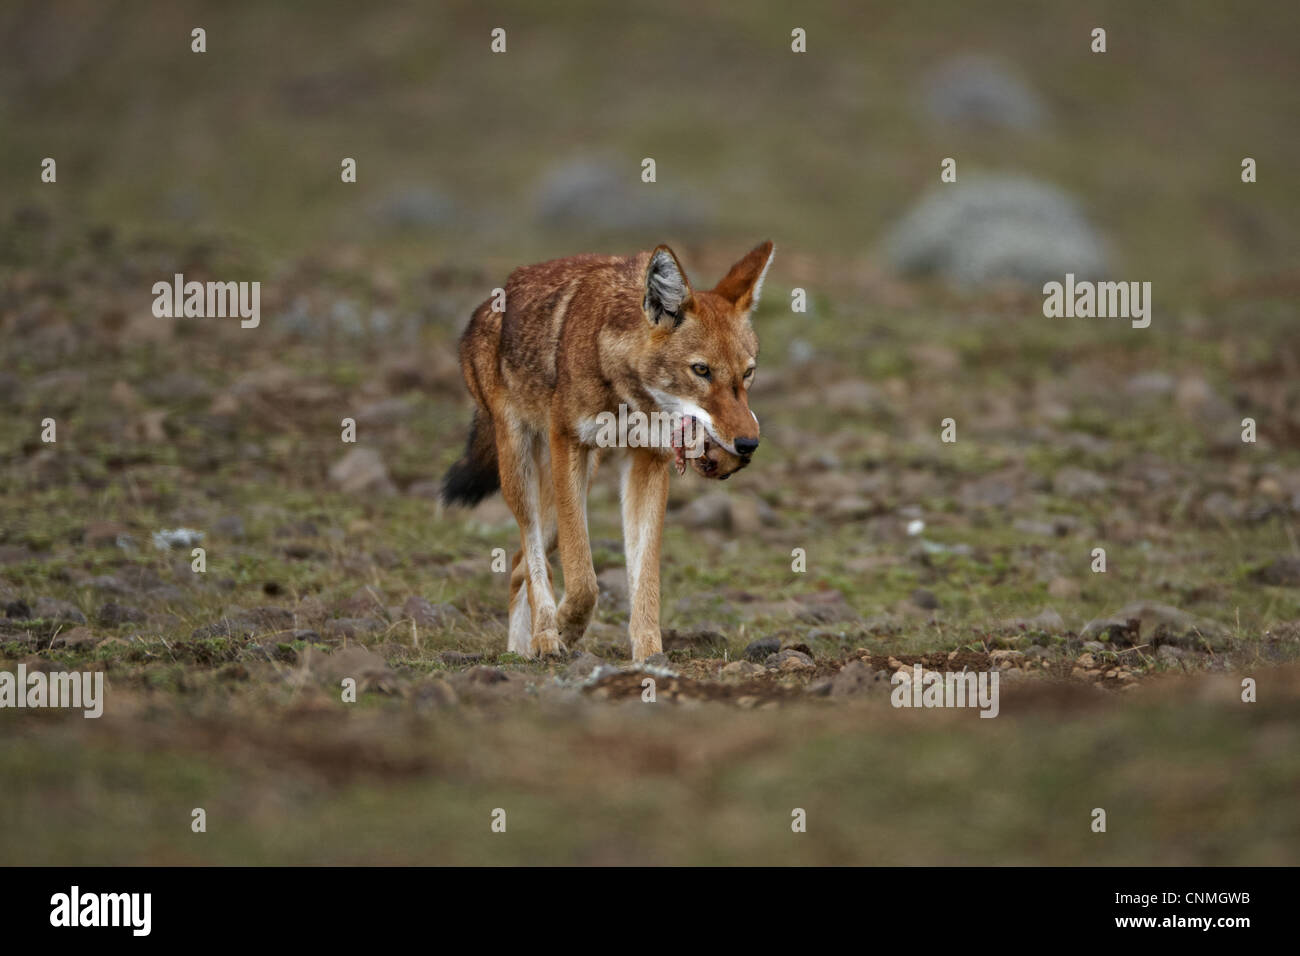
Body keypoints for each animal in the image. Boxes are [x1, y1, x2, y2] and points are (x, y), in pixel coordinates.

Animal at [441, 239, 774, 660]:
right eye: (701, 371)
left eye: (747, 373)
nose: (748, 443)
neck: (625, 392)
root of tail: (488, 303)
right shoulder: (568, 443)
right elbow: (583, 578)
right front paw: (564, 629)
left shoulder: (648, 461)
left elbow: (645, 580)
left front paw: (650, 656)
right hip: (521, 467)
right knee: (531, 554)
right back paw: (543, 637)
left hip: (573, 486)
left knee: (518, 563)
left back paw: (522, 650)